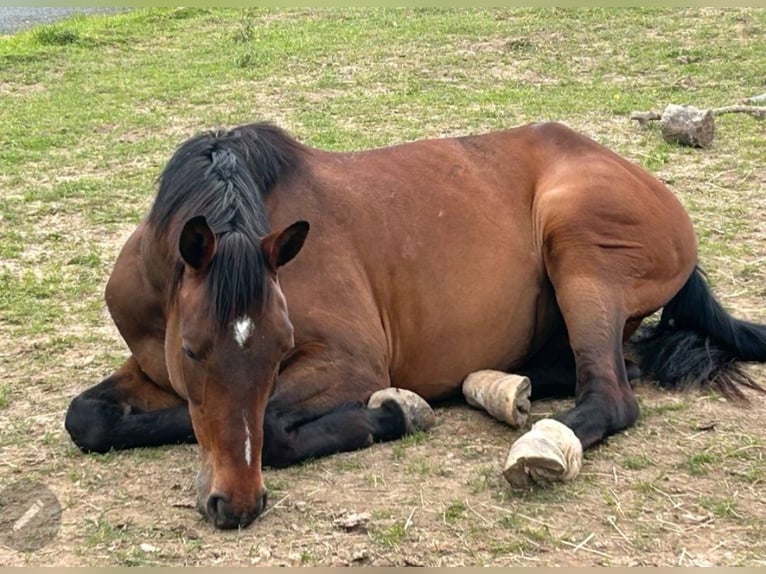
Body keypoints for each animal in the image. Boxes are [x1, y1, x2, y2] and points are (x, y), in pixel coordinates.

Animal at [65, 121, 766, 529]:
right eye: (191, 350)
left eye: (280, 346)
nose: (235, 504)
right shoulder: (152, 367)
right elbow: (87, 418)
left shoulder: (350, 364)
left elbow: (272, 425)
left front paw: (389, 413)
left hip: (578, 248)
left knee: (612, 395)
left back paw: (536, 439)